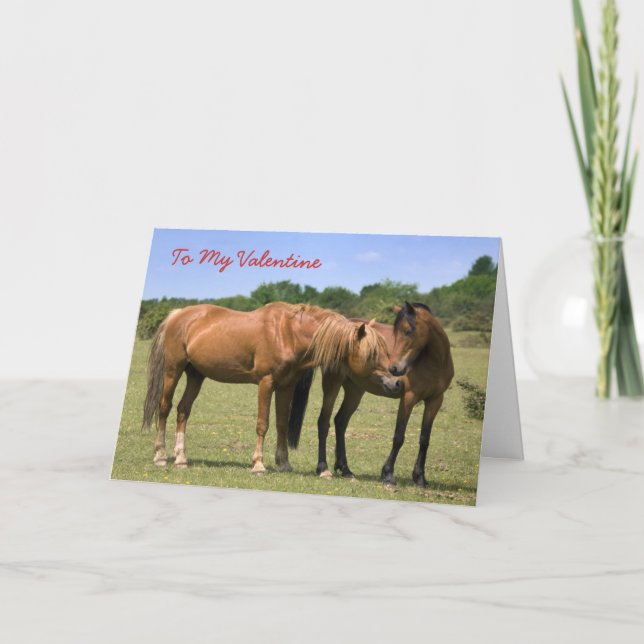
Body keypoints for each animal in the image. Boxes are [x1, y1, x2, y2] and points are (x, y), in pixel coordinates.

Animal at [141, 302, 401, 473]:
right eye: (372, 353)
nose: (396, 381)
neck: (288, 333)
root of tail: (177, 315)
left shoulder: (286, 386)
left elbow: (282, 424)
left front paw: (284, 463)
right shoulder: (266, 384)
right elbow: (263, 424)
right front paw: (258, 464)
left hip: (196, 375)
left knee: (183, 411)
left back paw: (181, 458)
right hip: (173, 371)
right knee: (164, 407)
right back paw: (161, 456)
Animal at [288, 301, 453, 487]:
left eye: (407, 331)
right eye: (395, 332)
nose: (395, 369)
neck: (434, 362)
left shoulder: (435, 400)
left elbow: (425, 439)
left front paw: (420, 478)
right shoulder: (408, 398)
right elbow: (399, 436)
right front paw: (388, 474)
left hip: (355, 390)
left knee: (341, 421)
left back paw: (345, 469)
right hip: (333, 383)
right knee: (324, 422)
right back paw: (323, 468)